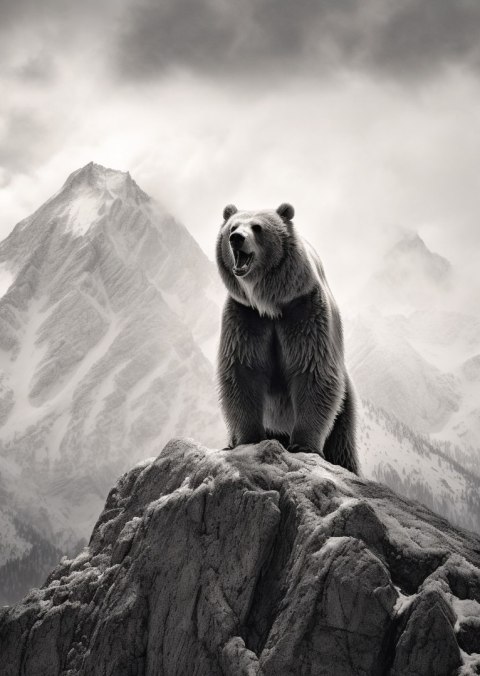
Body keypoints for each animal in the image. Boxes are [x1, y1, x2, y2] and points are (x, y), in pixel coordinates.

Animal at [216, 202, 358, 474]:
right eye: (232, 226)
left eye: (257, 227)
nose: (236, 238)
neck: (270, 303)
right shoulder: (245, 317)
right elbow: (242, 369)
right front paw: (248, 439)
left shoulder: (303, 310)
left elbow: (312, 369)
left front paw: (303, 444)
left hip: (345, 407)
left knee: (342, 443)